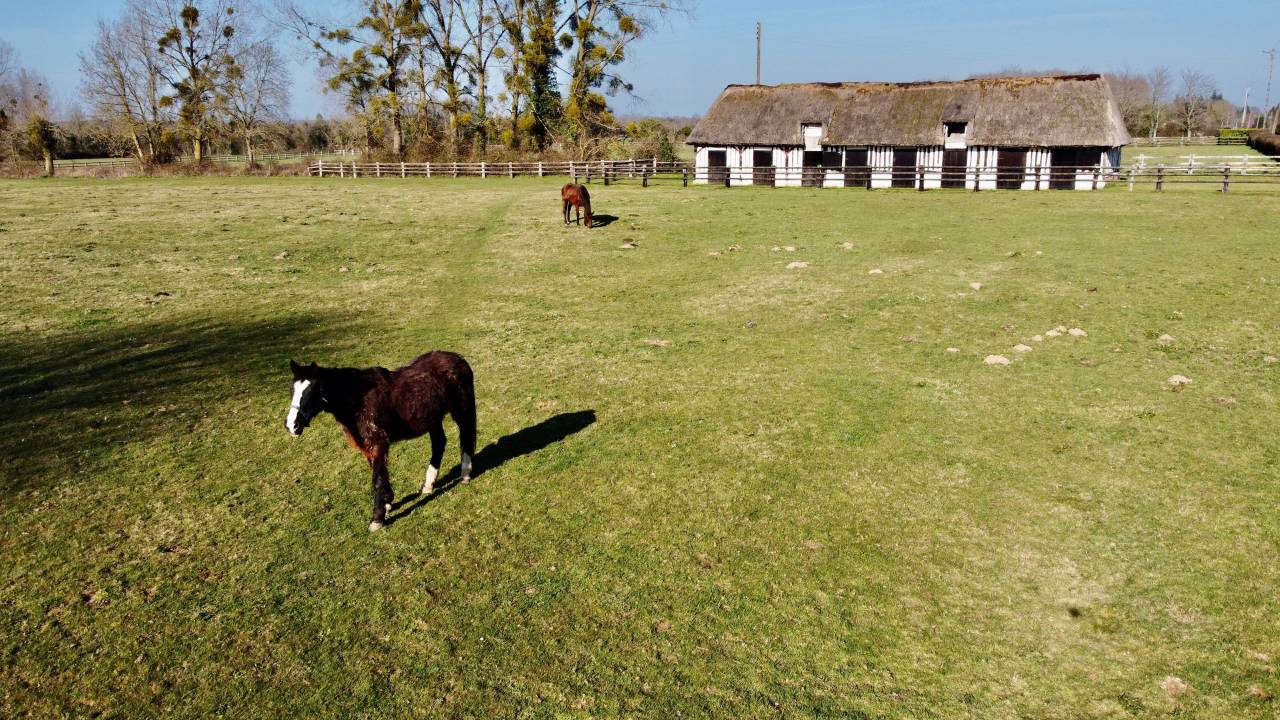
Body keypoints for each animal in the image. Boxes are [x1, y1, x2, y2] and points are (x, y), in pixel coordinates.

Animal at [285, 351, 477, 531]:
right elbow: (381, 475)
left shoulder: (378, 443)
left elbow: (376, 479)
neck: (358, 400)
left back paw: (465, 475)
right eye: (292, 390)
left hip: (462, 410)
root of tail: (458, 358)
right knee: (439, 443)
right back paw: (428, 485)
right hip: (433, 419)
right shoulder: (368, 447)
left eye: (312, 391)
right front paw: (387, 504)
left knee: (465, 436)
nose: (291, 425)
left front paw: (377, 519)